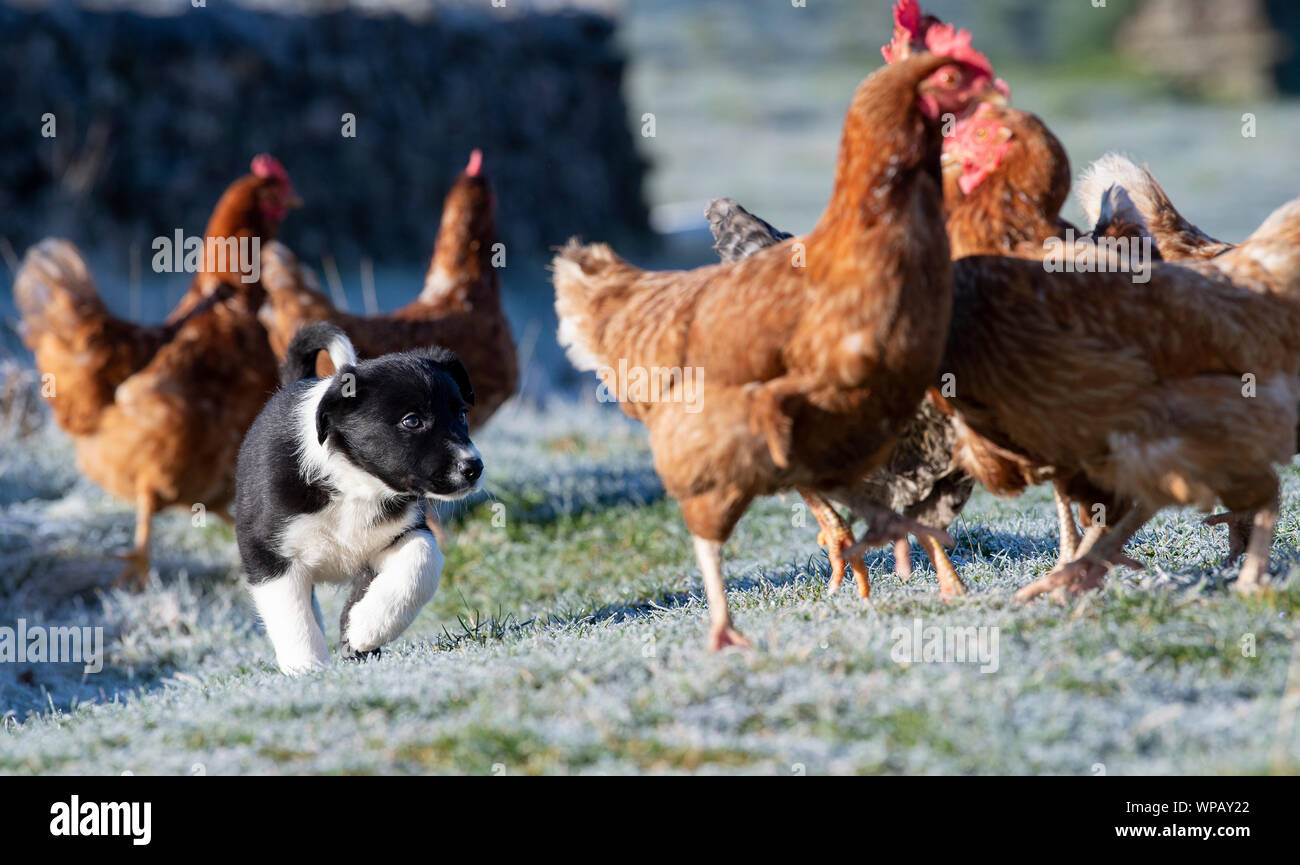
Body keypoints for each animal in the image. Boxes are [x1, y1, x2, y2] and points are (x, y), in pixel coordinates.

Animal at [235, 319, 483, 671]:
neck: (356, 484)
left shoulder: (400, 533)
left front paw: (365, 629)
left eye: (462, 414)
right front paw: (307, 669)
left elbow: (424, 558)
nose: (474, 467)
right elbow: (293, 616)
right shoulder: (266, 552)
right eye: (412, 421)